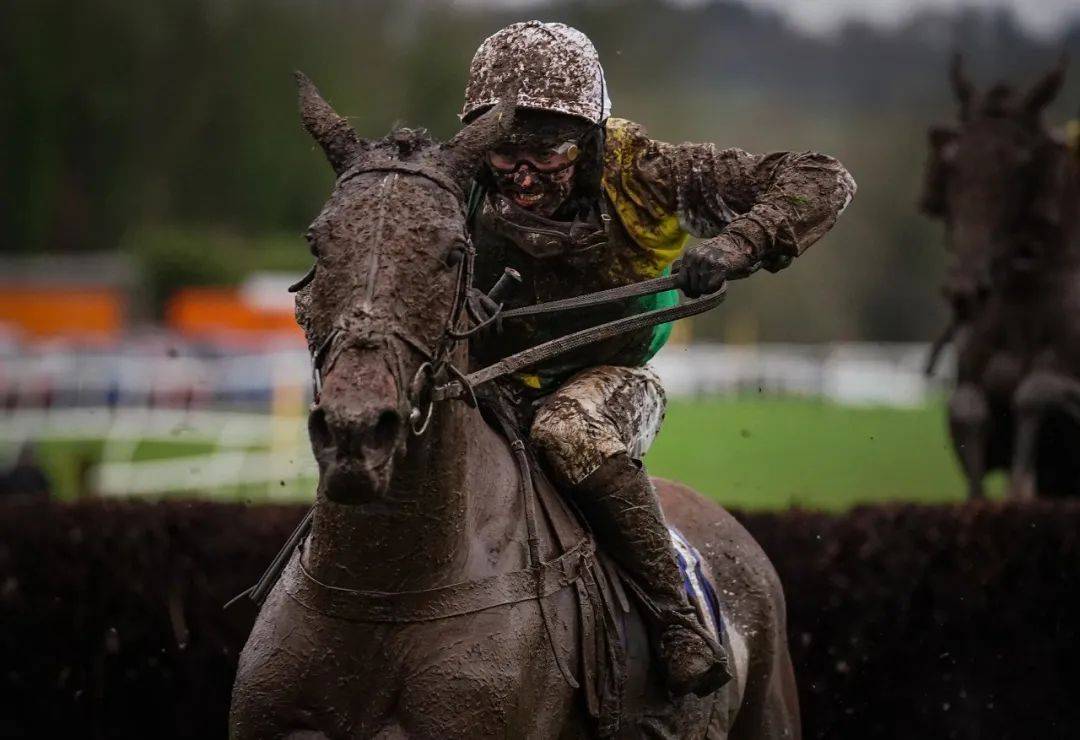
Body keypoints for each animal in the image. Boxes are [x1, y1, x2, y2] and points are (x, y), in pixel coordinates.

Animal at [230, 76, 803, 738]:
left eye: (454, 252)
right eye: (317, 242)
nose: (356, 431)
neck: (384, 590)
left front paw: (719, 256)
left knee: (572, 431)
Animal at [920, 56, 1080, 496]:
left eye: (1021, 167)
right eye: (952, 164)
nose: (964, 289)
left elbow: (1035, 393)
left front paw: (1020, 491)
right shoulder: (972, 387)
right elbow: (967, 410)